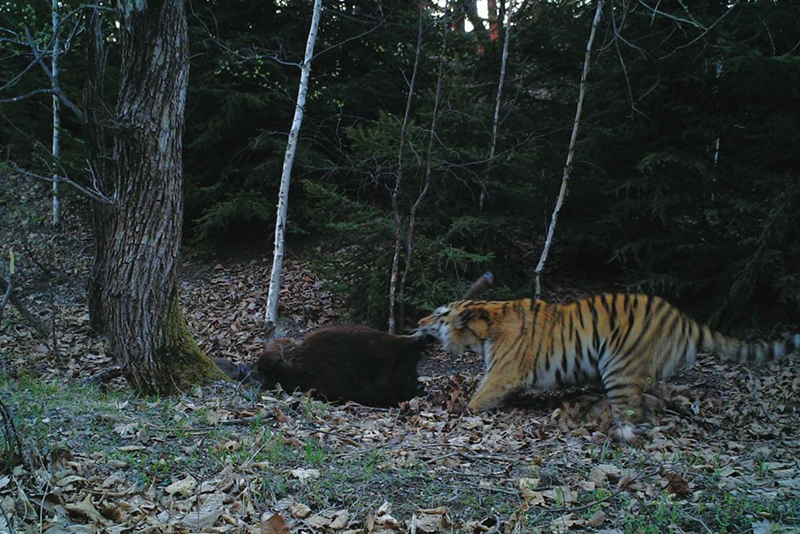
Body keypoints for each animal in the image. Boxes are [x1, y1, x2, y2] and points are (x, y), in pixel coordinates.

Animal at [416, 294, 796, 440]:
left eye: (438, 315)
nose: (418, 321)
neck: (485, 325)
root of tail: (683, 318)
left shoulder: (502, 374)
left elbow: (476, 400)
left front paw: (458, 411)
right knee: (663, 394)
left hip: (619, 368)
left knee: (637, 415)